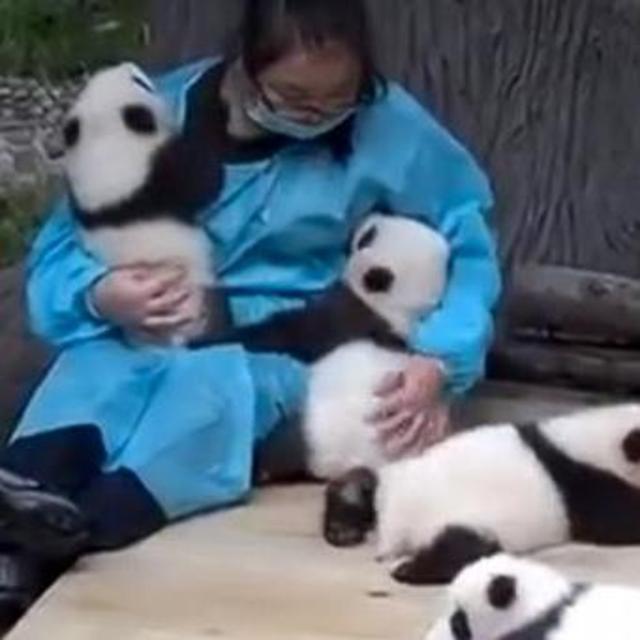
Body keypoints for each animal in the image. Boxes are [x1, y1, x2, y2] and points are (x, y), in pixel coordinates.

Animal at [328, 402, 640, 584]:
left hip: (394, 484)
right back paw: (408, 569)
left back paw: (344, 527)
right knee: (464, 550)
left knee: (361, 487)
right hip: (463, 514)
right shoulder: (586, 482)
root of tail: (391, 530)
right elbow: (616, 521)